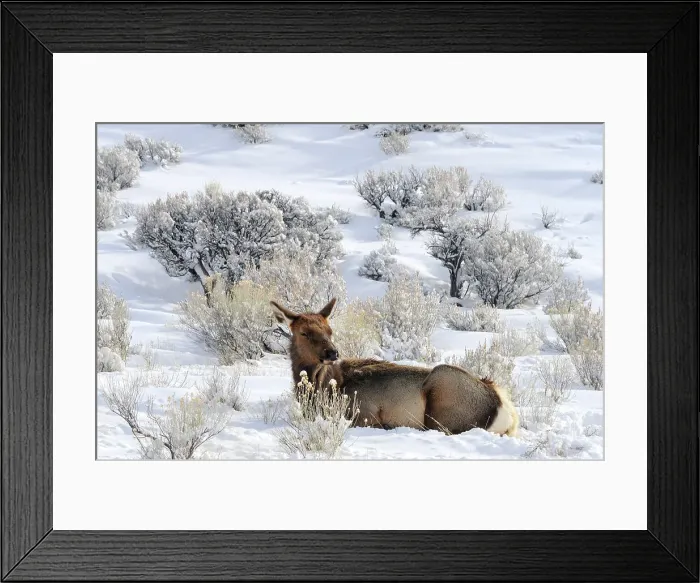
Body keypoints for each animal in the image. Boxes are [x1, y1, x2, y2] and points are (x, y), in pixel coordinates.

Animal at [270, 298, 519, 437]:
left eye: (330, 331)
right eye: (303, 332)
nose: (332, 352)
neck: (323, 388)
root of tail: (506, 411)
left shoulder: (364, 414)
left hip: (442, 395)